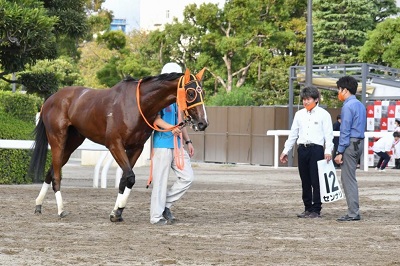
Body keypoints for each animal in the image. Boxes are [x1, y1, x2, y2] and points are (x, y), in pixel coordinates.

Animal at [28, 67, 209, 221]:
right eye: (190, 92)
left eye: (203, 92)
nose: (203, 123)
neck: (137, 105)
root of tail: (51, 99)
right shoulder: (115, 145)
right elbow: (130, 177)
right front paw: (118, 209)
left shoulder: (136, 147)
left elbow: (124, 179)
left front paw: (117, 212)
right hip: (57, 139)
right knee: (56, 174)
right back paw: (61, 210)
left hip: (72, 142)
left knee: (51, 171)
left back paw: (38, 205)